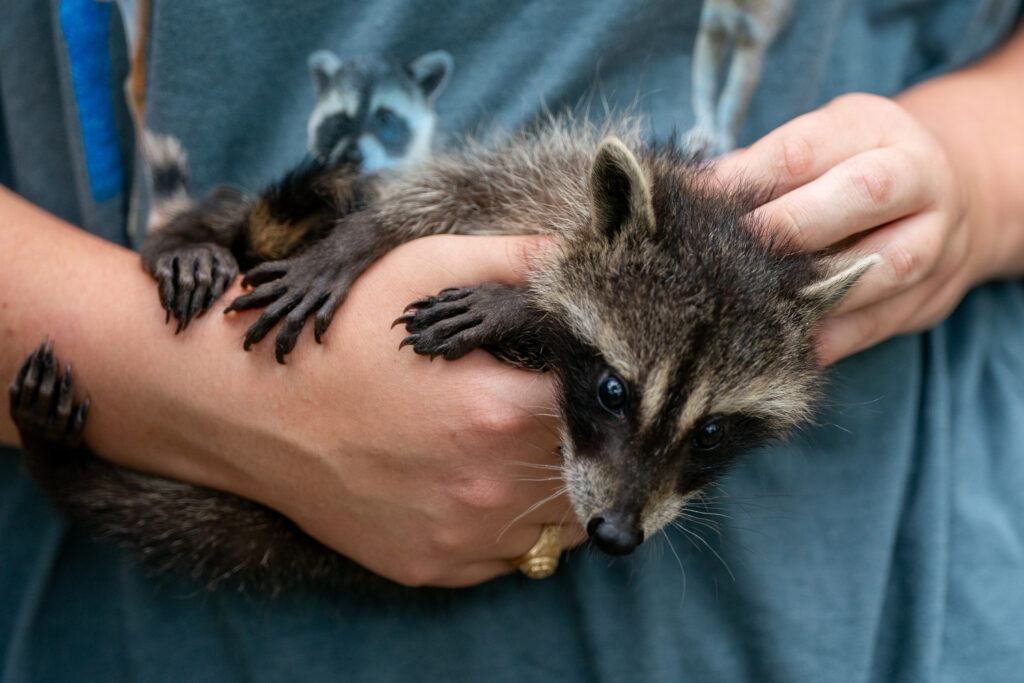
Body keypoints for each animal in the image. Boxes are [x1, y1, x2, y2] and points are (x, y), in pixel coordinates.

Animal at [8, 114, 876, 589]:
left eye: (712, 432)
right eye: (613, 391)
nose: (616, 535)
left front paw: (520, 305)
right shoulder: (528, 176)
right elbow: (426, 192)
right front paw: (361, 241)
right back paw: (188, 239)